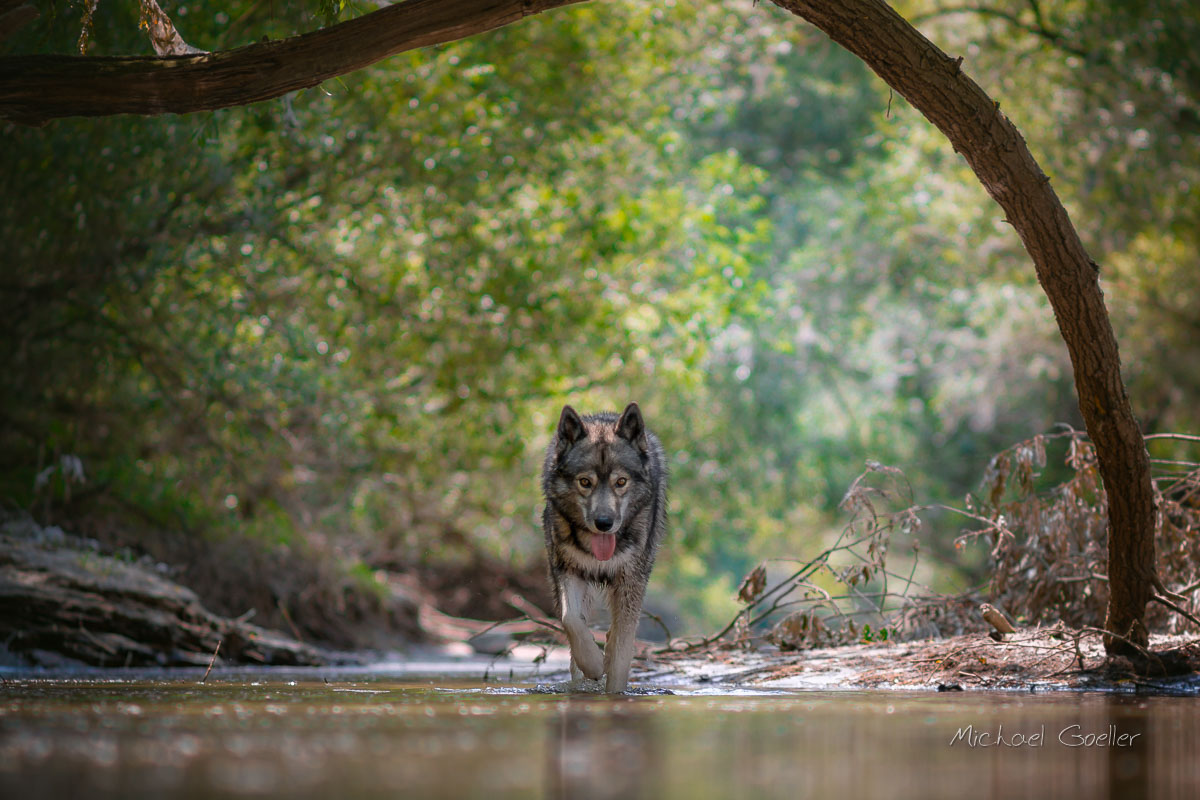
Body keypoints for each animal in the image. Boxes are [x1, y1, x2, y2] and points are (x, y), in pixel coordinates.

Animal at [542, 402, 667, 690]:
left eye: (620, 482)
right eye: (585, 482)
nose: (604, 523)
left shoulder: (631, 580)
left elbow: (622, 647)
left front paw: (615, 691)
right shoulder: (568, 570)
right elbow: (571, 620)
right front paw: (594, 664)